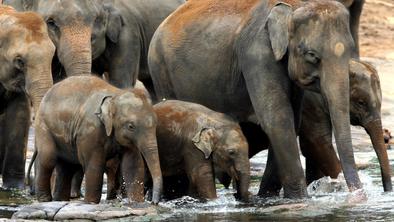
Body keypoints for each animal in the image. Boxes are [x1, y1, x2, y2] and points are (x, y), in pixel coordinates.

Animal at [34, 75, 162, 204]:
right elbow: (94, 164)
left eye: (156, 124)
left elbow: (133, 163)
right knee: (49, 158)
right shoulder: (90, 130)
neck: (115, 95)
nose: (154, 202)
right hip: (43, 126)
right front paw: (90, 202)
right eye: (131, 126)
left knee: (67, 166)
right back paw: (45, 199)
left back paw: (60, 199)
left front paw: (137, 202)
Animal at [148, 0, 364, 198]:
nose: (358, 195)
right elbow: (278, 120)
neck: (293, 6)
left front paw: (268, 197)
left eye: (350, 50)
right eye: (311, 55)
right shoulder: (257, 54)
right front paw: (300, 199)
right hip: (160, 70)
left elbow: (291, 121)